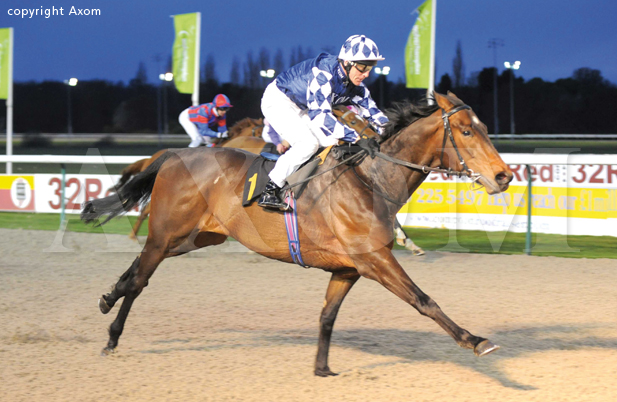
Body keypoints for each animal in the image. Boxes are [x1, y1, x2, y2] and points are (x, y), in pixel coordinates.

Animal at [83, 92, 516, 376]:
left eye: (484, 128)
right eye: (466, 131)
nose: (504, 176)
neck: (370, 179)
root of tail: (176, 154)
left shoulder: (348, 268)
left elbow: (327, 316)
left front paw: (322, 368)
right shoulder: (374, 259)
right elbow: (423, 300)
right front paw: (475, 340)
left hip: (194, 237)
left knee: (136, 270)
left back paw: (106, 298)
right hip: (169, 233)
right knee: (140, 279)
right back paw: (112, 336)